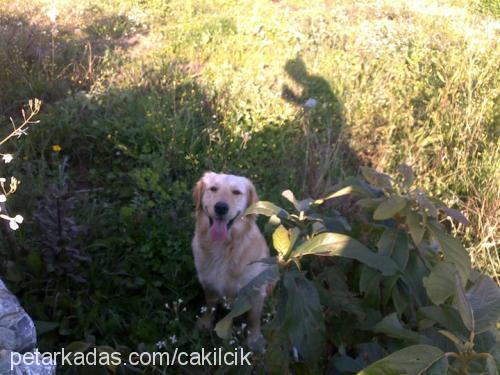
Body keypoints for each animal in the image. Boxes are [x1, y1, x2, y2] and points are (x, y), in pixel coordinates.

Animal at [191, 173, 270, 350]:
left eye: (236, 192)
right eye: (213, 188)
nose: (221, 207)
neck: (224, 248)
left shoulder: (256, 289)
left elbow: (254, 319)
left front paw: (254, 340)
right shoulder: (209, 282)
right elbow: (210, 306)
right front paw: (206, 323)